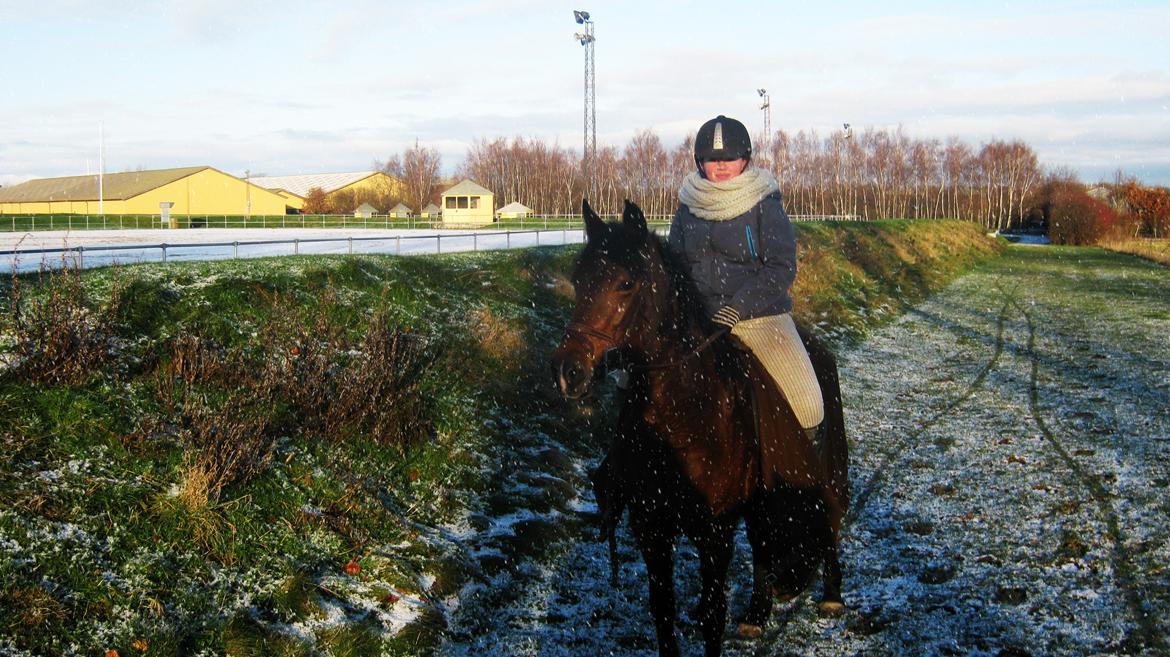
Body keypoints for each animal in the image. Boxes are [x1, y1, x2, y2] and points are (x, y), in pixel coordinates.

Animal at [552, 199, 847, 654]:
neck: (682, 417)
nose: (568, 371)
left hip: (822, 471)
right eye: (579, 279)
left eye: (626, 283)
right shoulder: (652, 529)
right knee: (762, 543)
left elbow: (712, 615)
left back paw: (831, 593)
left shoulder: (715, 531)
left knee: (828, 513)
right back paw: (757, 614)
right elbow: (663, 612)